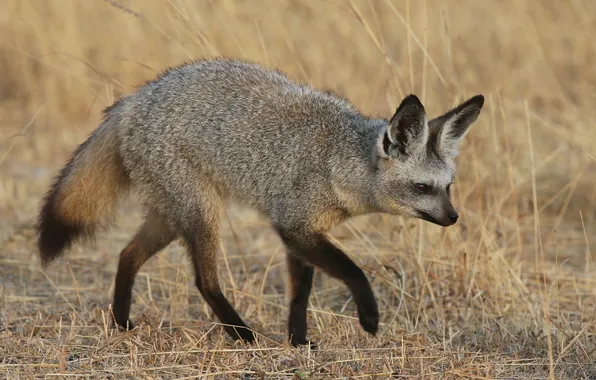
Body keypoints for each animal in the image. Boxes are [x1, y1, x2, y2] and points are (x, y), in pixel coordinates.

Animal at [37, 58, 482, 346]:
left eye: (448, 187)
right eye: (423, 188)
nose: (454, 218)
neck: (337, 159)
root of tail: (134, 98)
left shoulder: (303, 232)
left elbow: (300, 294)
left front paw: (298, 341)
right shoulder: (294, 225)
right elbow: (354, 272)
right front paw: (369, 317)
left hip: (171, 217)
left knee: (126, 256)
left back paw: (121, 323)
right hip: (200, 216)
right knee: (204, 281)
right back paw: (240, 333)